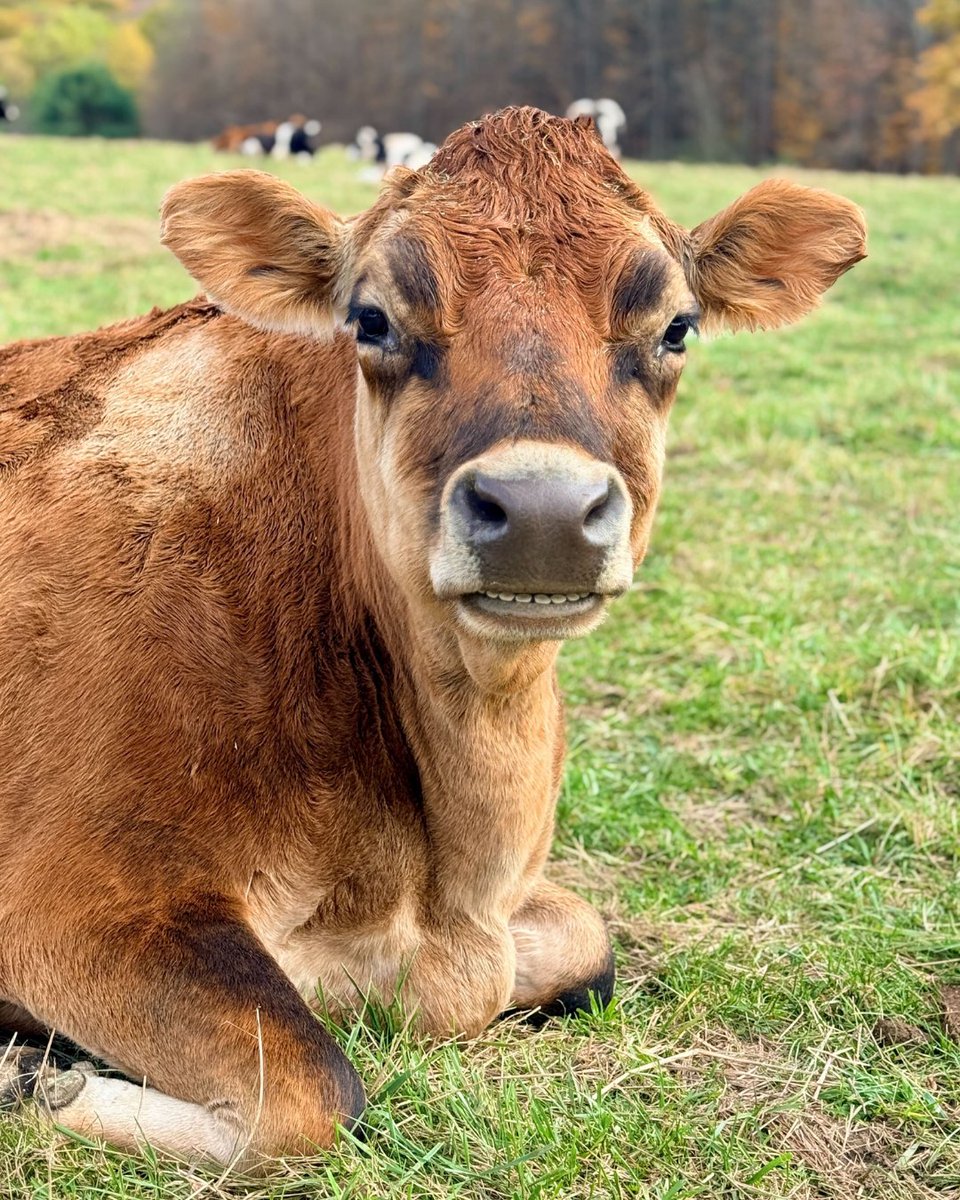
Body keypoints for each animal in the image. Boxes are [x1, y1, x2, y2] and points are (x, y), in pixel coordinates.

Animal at [0, 107, 865, 1171]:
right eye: (371, 319)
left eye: (677, 326)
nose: (542, 511)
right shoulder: (76, 898)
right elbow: (315, 1089)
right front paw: (38, 1080)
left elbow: (589, 946)